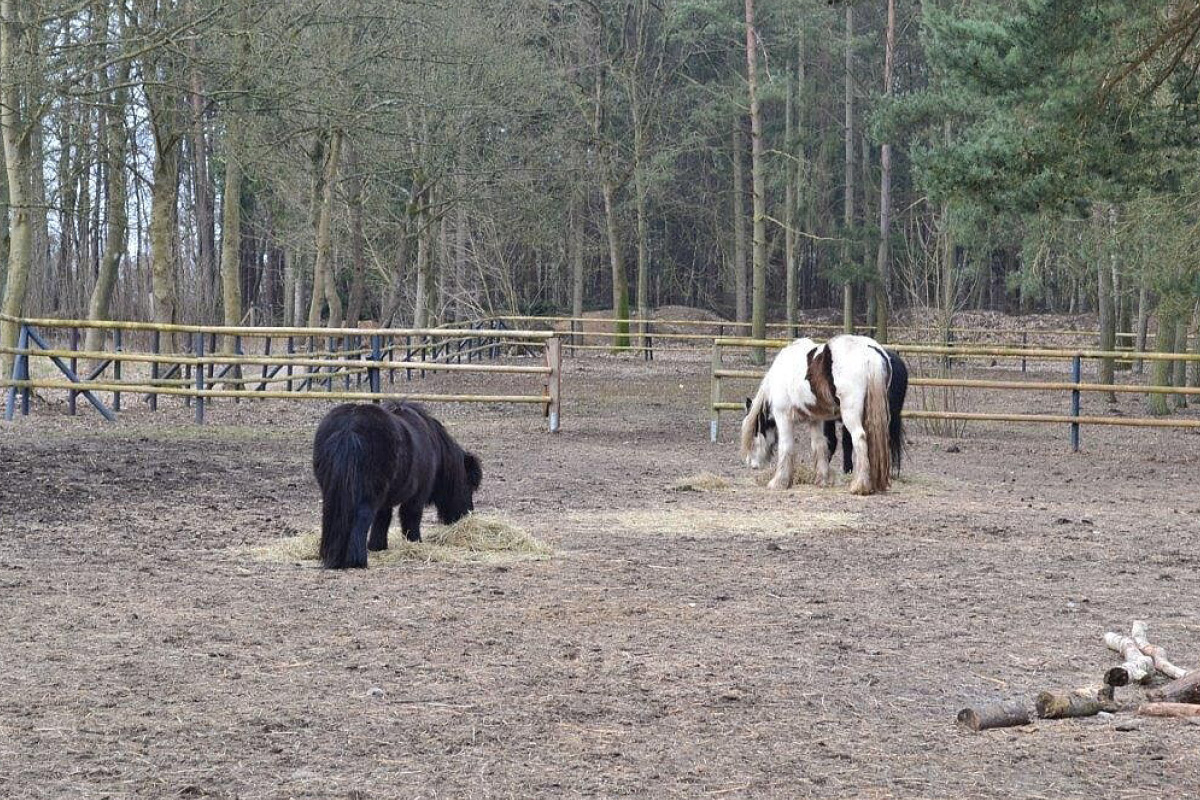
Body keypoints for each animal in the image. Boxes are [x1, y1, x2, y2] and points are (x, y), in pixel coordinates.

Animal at [311, 401, 483, 569]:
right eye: (469, 485)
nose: (467, 514)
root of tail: (350, 427)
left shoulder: (385, 501)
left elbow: (382, 519)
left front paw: (377, 546)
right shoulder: (417, 496)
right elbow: (410, 517)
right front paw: (415, 541)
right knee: (362, 518)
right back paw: (356, 561)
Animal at [741, 335, 893, 495]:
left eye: (754, 433)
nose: (750, 463)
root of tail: (871, 352)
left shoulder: (783, 417)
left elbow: (786, 447)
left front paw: (779, 482)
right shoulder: (815, 419)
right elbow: (819, 445)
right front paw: (823, 479)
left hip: (851, 414)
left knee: (859, 438)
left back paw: (860, 485)